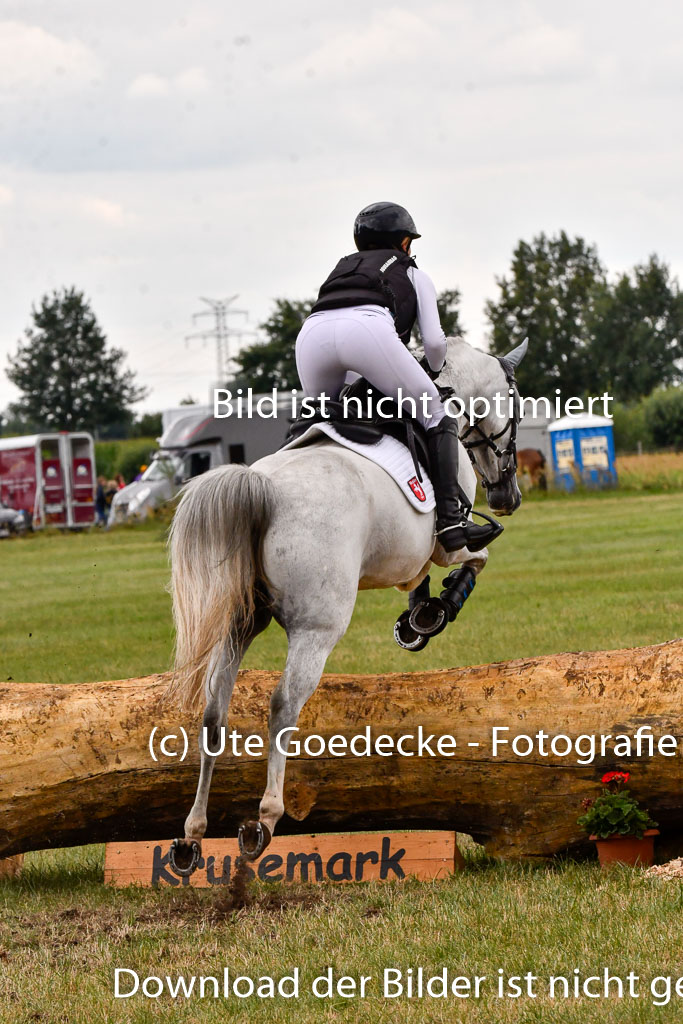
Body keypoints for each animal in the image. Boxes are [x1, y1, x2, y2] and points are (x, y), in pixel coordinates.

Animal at [166, 335, 528, 872]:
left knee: (213, 714)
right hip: (318, 627)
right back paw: (264, 820)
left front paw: (416, 620)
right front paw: (435, 613)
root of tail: (263, 488)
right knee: (283, 705)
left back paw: (192, 836)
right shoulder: (448, 544)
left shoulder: (407, 555)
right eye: (519, 410)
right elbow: (473, 558)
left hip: (237, 625)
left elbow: (419, 580)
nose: (508, 496)